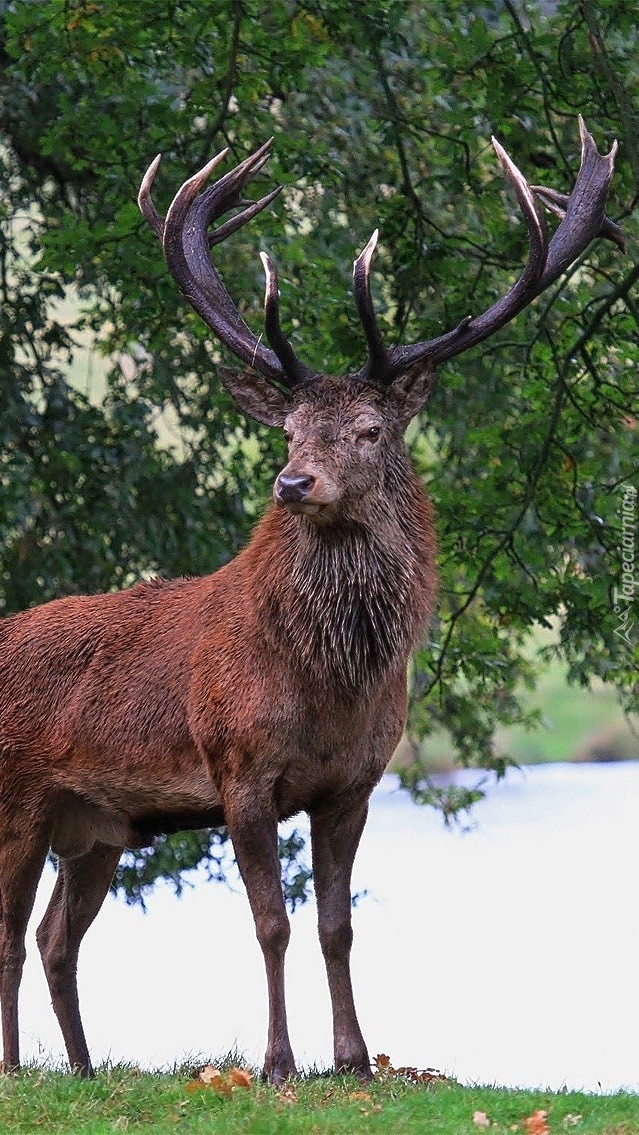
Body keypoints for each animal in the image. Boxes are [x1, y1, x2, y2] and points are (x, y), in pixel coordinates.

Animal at [0, 115, 621, 1080]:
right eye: (288, 429)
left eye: (368, 429)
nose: (293, 481)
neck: (330, 680)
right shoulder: (238, 769)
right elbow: (272, 923)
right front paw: (278, 1063)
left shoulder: (354, 784)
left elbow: (337, 926)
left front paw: (355, 1058)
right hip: (18, 796)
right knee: (9, 936)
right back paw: (16, 1065)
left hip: (95, 827)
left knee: (54, 936)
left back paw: (84, 1065)